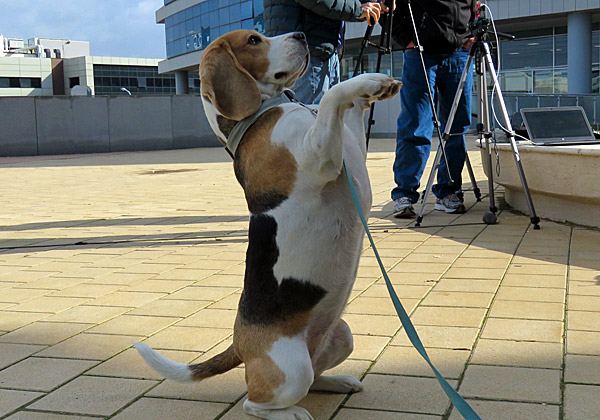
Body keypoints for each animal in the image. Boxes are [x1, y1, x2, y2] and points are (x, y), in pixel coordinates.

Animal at [135, 29, 398, 420]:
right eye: (254, 40)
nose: (302, 34)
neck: (260, 112)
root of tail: (239, 344)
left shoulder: (348, 146)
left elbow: (345, 108)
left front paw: (372, 90)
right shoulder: (319, 155)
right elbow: (333, 94)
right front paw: (367, 82)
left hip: (342, 337)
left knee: (315, 376)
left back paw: (336, 381)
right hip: (292, 370)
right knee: (255, 402)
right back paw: (292, 412)